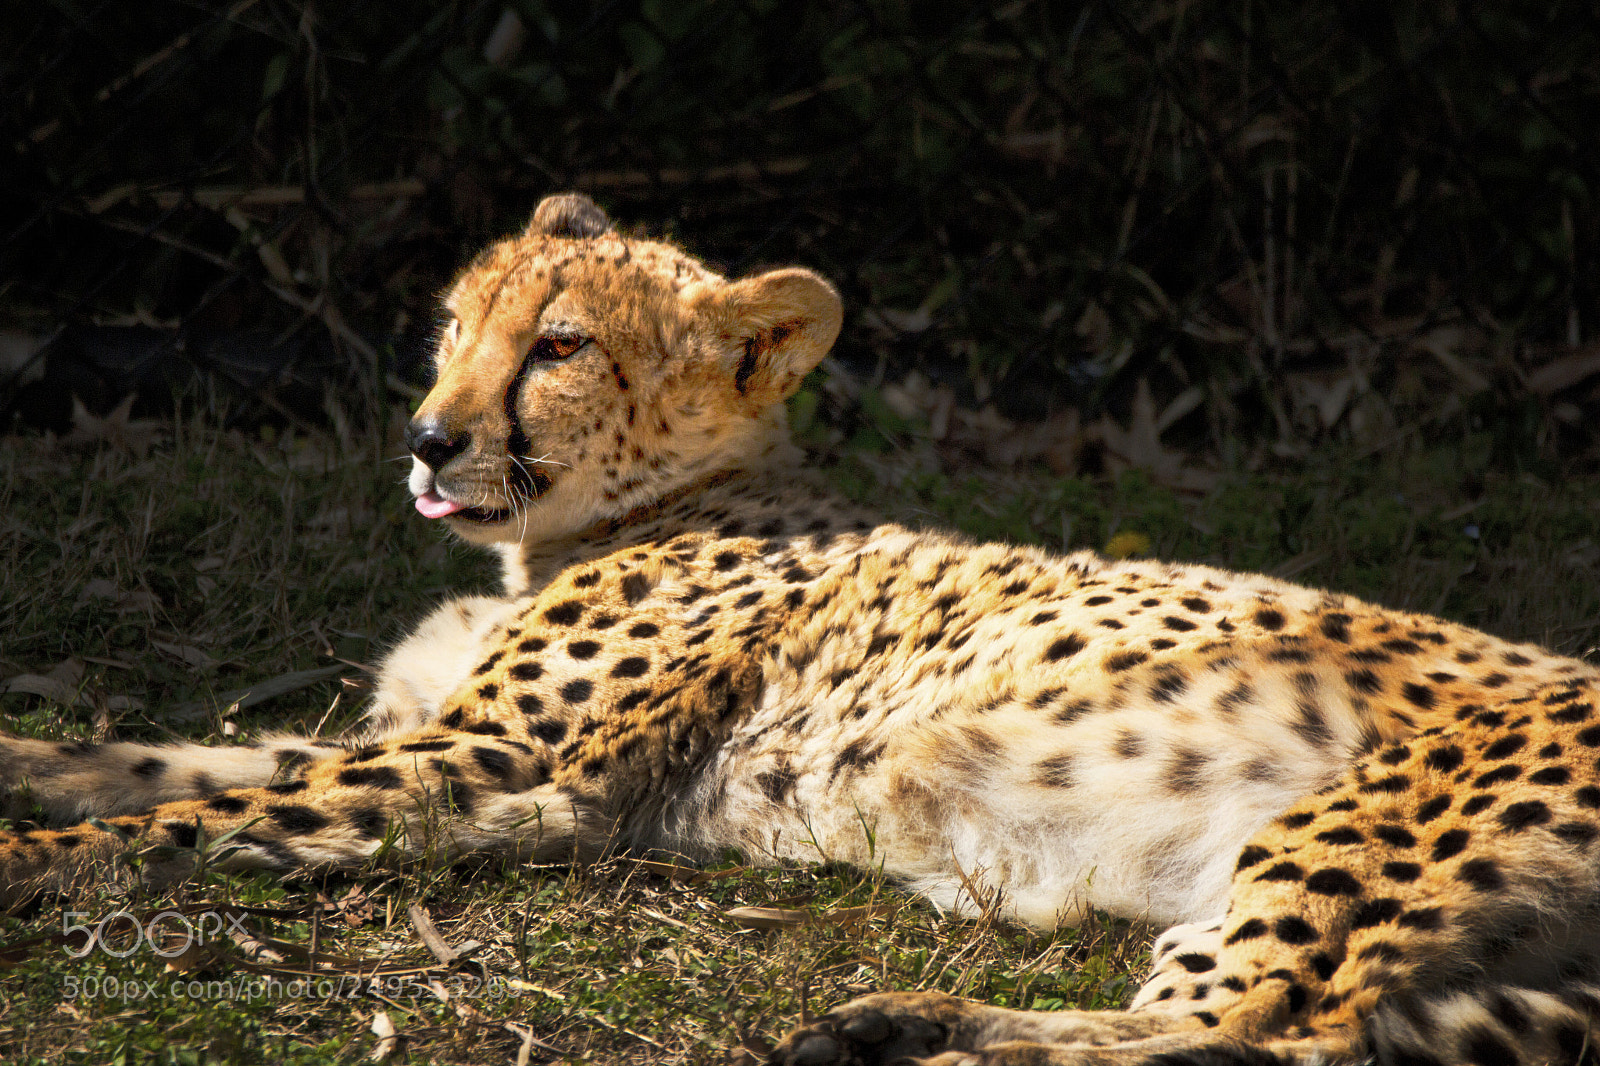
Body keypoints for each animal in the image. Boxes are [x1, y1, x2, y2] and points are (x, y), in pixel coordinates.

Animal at [4, 193, 1600, 1065]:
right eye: (455, 325)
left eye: (558, 346)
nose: (426, 439)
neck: (569, 530)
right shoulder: (422, 742)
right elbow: (171, 760)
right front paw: (35, 761)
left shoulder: (512, 777)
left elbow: (186, 818)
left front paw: (29, 863)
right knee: (1244, 1020)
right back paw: (903, 1028)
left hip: (1359, 821)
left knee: (1280, 1028)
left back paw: (930, 1044)